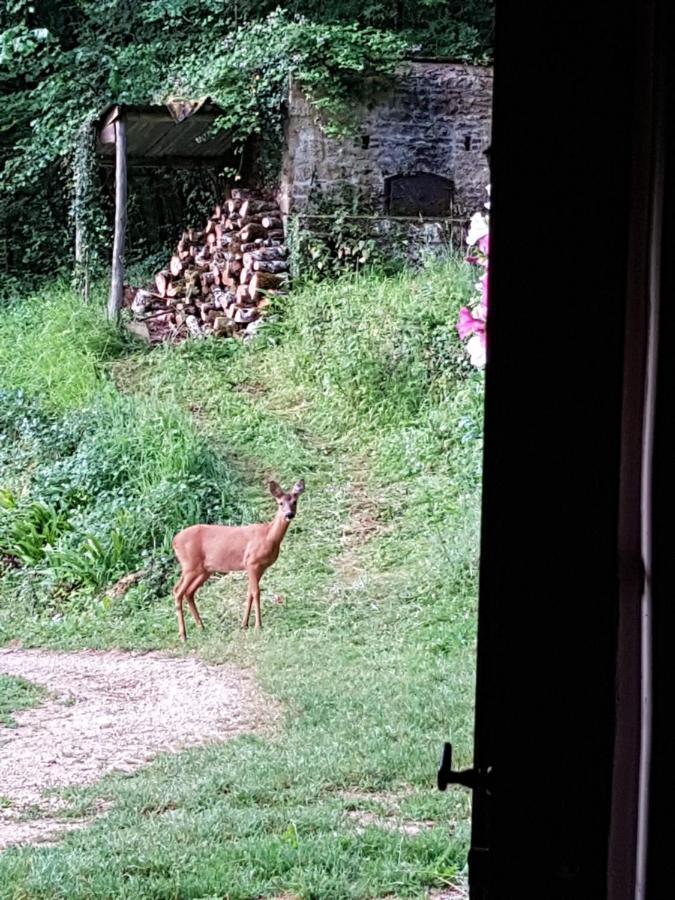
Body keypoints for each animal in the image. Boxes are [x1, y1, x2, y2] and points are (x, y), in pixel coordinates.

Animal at [172, 478, 306, 640]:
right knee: (177, 591)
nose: (289, 514)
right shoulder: (252, 562)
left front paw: (244, 624)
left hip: (204, 570)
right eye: (280, 503)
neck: (268, 537)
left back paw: (201, 627)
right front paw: (258, 626)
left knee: (189, 592)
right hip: (190, 565)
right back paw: (183, 635)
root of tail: (174, 541)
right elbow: (256, 592)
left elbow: (249, 593)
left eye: (295, 501)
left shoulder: (260, 567)